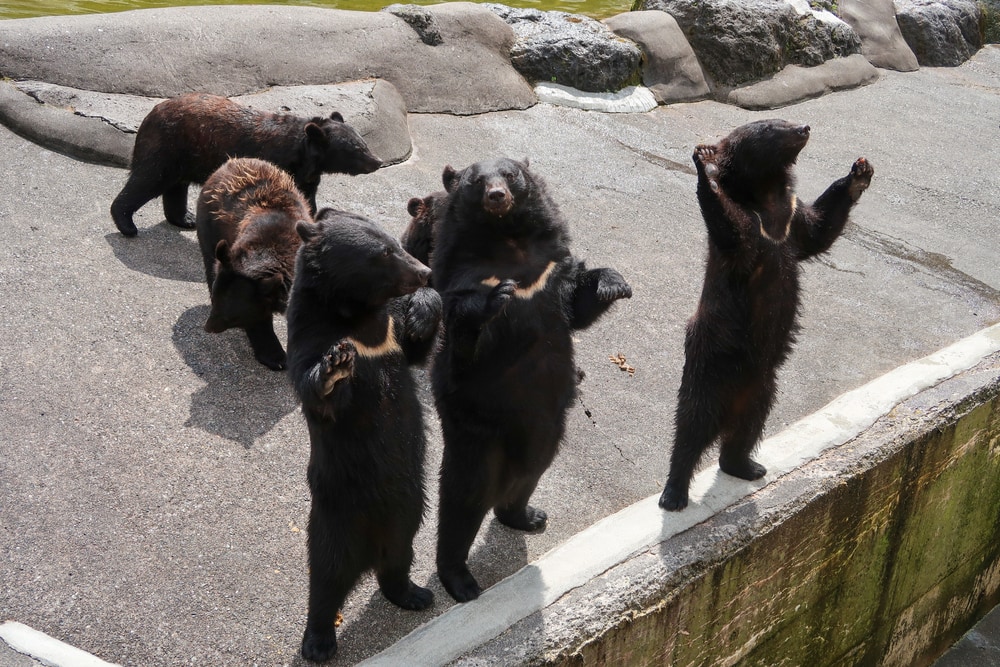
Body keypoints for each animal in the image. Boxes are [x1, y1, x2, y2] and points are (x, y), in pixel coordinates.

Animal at [110, 92, 382, 237]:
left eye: (363, 141)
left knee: (175, 186)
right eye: (357, 148)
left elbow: (307, 200)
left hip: (183, 154)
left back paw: (185, 219)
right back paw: (126, 223)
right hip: (167, 145)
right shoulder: (276, 164)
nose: (377, 161)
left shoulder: (307, 176)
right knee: (148, 179)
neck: (303, 153)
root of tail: (149, 114)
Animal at [194, 157, 310, 371]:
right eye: (215, 301)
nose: (209, 328)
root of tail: (231, 162)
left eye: (233, 317)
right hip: (208, 225)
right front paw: (275, 356)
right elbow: (259, 318)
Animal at [285, 207, 442, 662]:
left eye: (393, 242)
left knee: (400, 557)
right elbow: (319, 391)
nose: (425, 271)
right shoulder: (310, 336)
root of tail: (369, 550)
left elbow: (418, 347)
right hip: (335, 516)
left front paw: (425, 309)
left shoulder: (391, 336)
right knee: (326, 578)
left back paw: (414, 593)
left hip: (410, 510)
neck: (356, 318)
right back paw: (318, 641)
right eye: (383, 254)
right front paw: (335, 367)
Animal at [431, 157, 632, 602]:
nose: (497, 196)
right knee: (465, 495)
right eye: (477, 181)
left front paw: (614, 283)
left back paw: (527, 515)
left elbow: (578, 306)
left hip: (547, 422)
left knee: (534, 465)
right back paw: (459, 578)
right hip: (472, 423)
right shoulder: (464, 276)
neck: (509, 243)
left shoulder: (552, 270)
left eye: (510, 175)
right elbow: (468, 333)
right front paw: (492, 301)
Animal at [658, 119, 874, 512]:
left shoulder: (790, 220)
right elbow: (730, 229)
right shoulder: (750, 236)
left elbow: (819, 229)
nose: (804, 127)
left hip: (763, 385)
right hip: (710, 361)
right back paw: (674, 492)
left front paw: (859, 173)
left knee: (748, 426)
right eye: (771, 128)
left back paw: (747, 464)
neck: (767, 201)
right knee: (691, 425)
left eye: (784, 122)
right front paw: (705, 167)